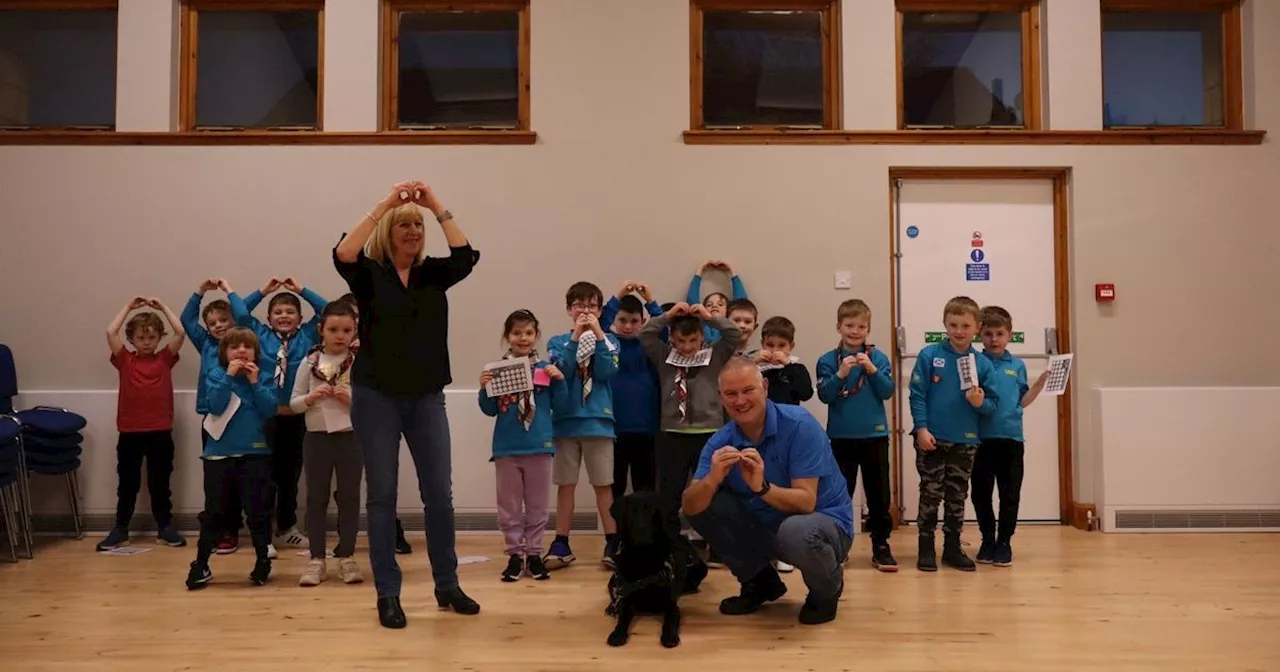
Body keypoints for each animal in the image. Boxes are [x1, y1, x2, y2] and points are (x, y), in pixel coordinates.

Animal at [601, 488, 706, 647]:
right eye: (632, 511)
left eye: (651, 511)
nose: (641, 528)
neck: (645, 557)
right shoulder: (627, 600)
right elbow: (622, 617)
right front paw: (617, 634)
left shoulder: (671, 605)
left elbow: (669, 620)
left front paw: (669, 637)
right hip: (616, 578)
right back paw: (611, 606)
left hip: (700, 567)